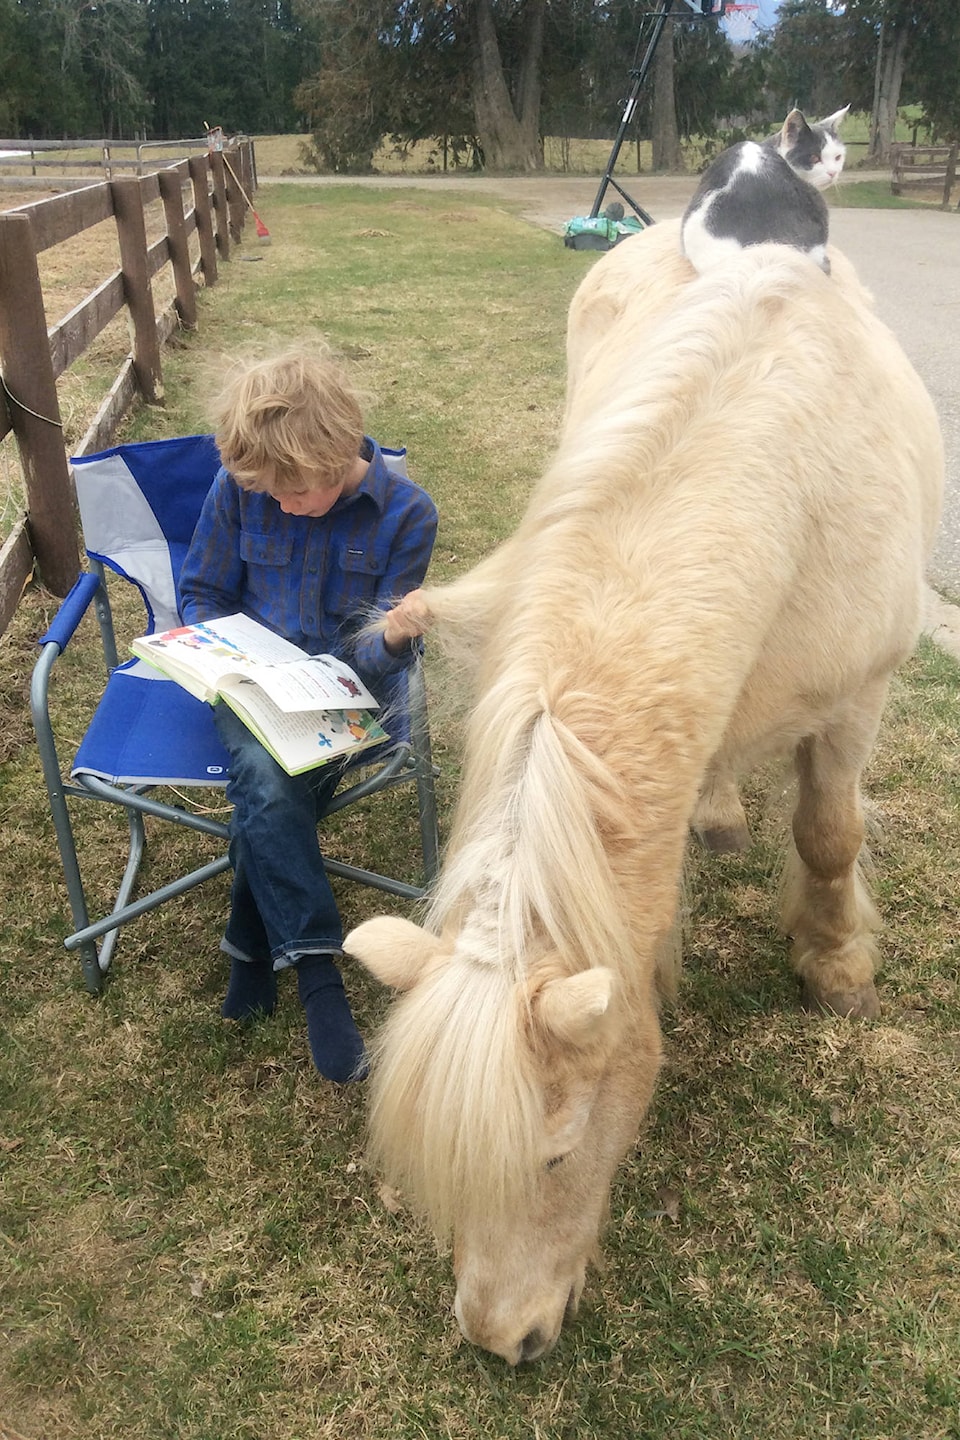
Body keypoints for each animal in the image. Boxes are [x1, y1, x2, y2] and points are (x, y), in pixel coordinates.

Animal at [343, 221, 938, 1359]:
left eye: (558, 1156)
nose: (501, 1342)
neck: (779, 483)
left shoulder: (855, 702)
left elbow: (830, 834)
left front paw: (836, 964)